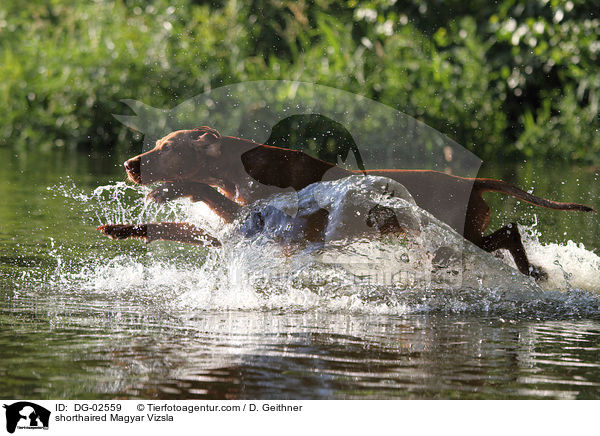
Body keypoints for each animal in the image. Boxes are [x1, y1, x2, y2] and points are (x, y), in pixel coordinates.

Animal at [99, 126, 596, 278]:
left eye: (166, 148)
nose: (129, 164)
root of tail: (471, 180)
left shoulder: (266, 220)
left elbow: (200, 191)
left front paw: (172, 190)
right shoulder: (237, 232)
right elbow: (180, 229)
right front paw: (122, 228)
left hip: (457, 235)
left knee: (509, 233)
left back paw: (531, 270)